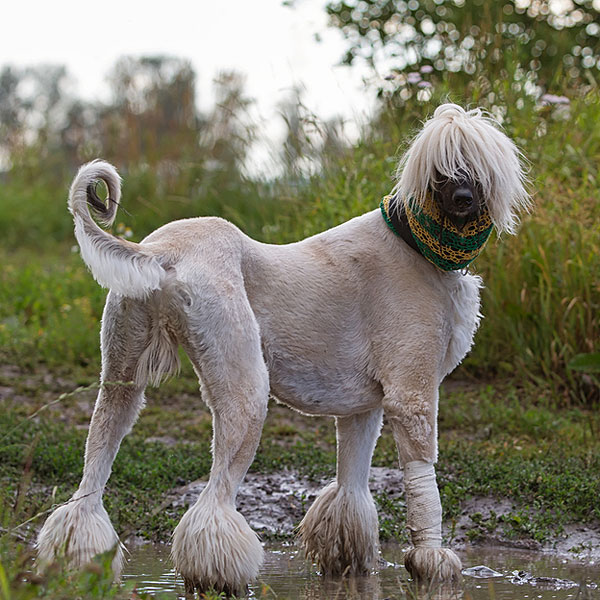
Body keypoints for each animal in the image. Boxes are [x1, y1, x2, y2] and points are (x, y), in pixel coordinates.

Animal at [37, 103, 528, 596]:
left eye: (477, 169)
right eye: (441, 171)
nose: (464, 200)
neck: (416, 244)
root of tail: (161, 253)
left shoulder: (362, 406)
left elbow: (350, 489)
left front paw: (347, 560)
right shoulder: (412, 394)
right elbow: (423, 483)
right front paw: (432, 561)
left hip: (122, 372)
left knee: (92, 472)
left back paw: (77, 561)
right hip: (244, 385)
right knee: (214, 503)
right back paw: (218, 577)